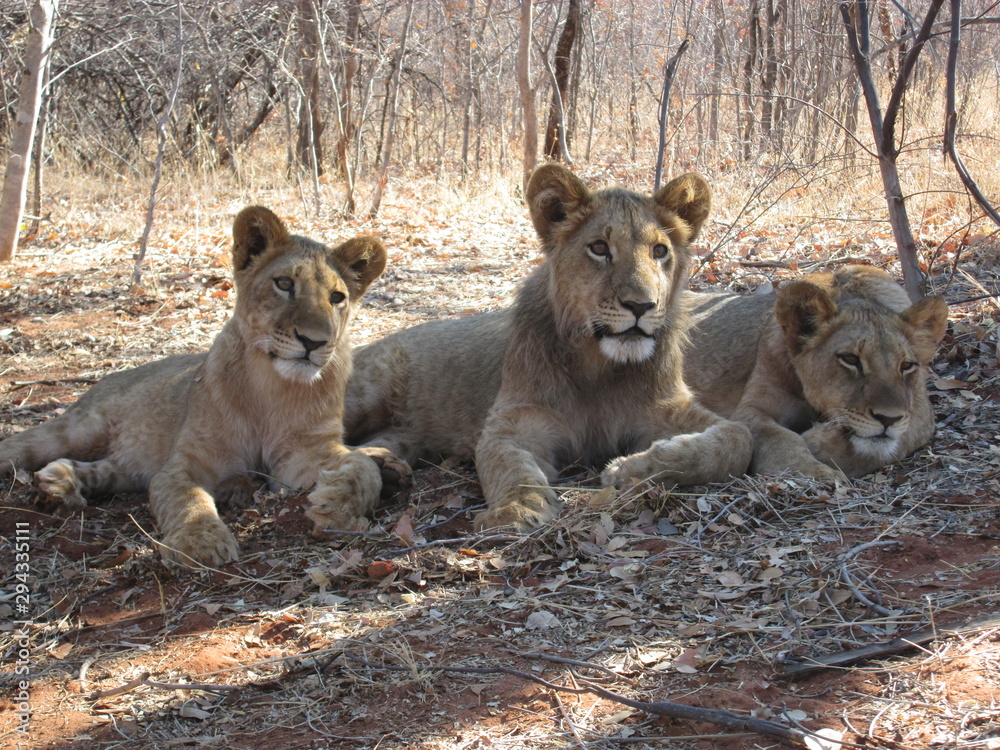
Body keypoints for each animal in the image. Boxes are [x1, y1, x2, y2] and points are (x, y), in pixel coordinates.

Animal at [0, 206, 389, 568]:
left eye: (337, 298)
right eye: (283, 284)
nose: (314, 341)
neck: (271, 387)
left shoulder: (302, 455)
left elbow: (363, 466)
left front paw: (336, 506)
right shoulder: (184, 464)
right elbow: (189, 500)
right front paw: (201, 543)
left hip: (126, 467)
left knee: (101, 470)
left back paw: (59, 484)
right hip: (76, 430)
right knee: (22, 447)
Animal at [345, 163, 753, 530]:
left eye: (659, 250)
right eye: (600, 248)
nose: (641, 306)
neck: (599, 366)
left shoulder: (669, 407)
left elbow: (737, 439)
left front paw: (634, 467)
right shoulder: (516, 420)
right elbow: (510, 467)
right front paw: (518, 509)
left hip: (403, 433)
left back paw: (384, 467)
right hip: (366, 392)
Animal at [680, 265, 949, 480]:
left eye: (906, 365)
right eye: (850, 359)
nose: (888, 419)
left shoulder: (920, 410)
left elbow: (900, 438)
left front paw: (817, 441)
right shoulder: (751, 408)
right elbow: (779, 437)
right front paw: (814, 470)